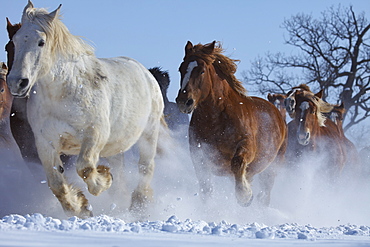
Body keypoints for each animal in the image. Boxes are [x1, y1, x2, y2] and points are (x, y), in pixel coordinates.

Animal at [6, 1, 163, 218]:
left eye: (41, 42)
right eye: (15, 41)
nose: (17, 83)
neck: (63, 93)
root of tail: (146, 73)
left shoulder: (94, 135)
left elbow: (85, 168)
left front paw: (103, 178)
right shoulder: (45, 142)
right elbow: (56, 183)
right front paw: (80, 207)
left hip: (149, 133)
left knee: (145, 168)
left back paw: (139, 205)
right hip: (115, 146)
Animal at [176, 41, 286, 206]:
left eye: (201, 71)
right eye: (181, 69)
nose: (184, 101)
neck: (217, 120)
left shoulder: (247, 146)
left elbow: (237, 162)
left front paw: (244, 195)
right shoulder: (199, 156)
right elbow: (206, 188)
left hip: (271, 168)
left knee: (265, 195)